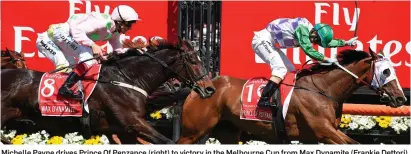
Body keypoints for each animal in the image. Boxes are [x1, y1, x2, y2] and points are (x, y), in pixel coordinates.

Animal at [0, 39, 219, 144]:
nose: (210, 89)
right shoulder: (132, 123)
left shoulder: (120, 130)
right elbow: (167, 142)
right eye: (192, 60)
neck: (126, 79)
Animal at [178, 48, 408, 144]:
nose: (401, 98)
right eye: (386, 71)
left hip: (228, 132)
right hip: (192, 132)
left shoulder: (322, 136)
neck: (323, 89)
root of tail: (201, 86)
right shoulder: (324, 132)